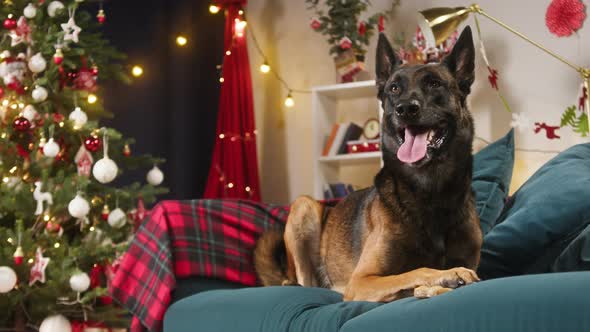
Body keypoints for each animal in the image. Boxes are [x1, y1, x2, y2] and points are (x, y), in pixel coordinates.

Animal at [256, 26, 484, 300]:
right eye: (394, 89)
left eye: (434, 83)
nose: (405, 109)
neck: (429, 190)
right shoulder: (362, 281)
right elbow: (416, 270)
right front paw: (446, 275)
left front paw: (437, 284)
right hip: (304, 207)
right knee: (301, 281)